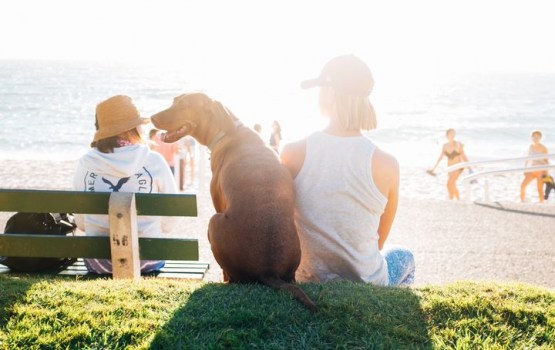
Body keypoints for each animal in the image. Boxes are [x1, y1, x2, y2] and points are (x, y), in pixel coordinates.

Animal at [151, 93, 318, 312]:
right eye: (173, 101)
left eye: (185, 105)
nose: (151, 117)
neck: (227, 129)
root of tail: (269, 269)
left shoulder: (217, 202)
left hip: (214, 222)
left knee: (231, 276)